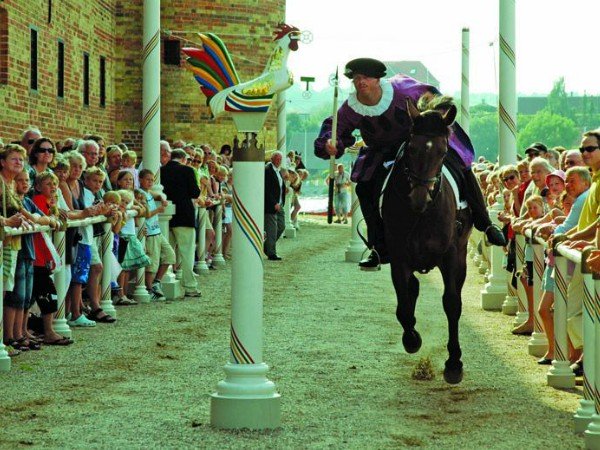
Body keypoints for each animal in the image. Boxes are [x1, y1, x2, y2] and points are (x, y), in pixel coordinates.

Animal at [384, 98, 474, 384]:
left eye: (443, 152)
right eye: (411, 148)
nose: (419, 198)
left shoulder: (450, 256)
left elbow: (452, 304)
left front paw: (454, 362)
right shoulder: (399, 257)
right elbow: (403, 306)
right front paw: (412, 339)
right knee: (411, 289)